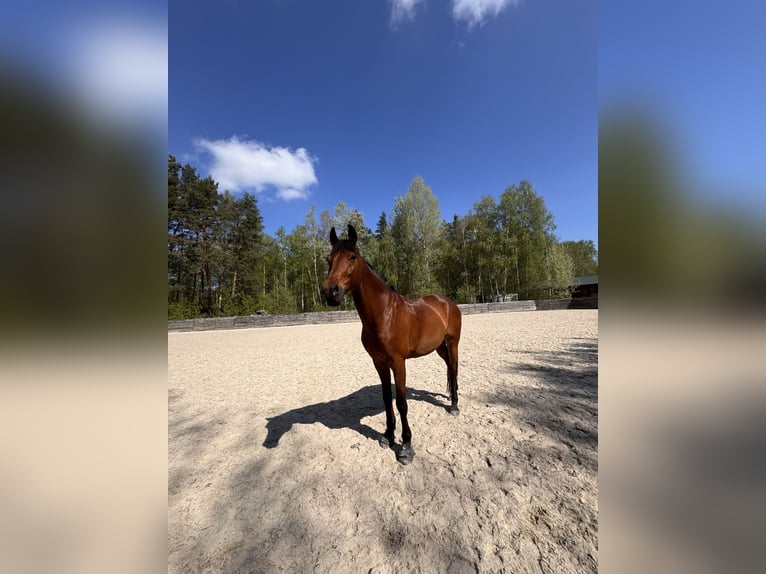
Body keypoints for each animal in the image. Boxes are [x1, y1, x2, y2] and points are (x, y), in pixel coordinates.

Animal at [322, 224, 462, 465]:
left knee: (453, 369)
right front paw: (388, 436)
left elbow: (401, 403)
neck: (384, 314)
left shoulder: (398, 362)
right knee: (449, 369)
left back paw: (453, 405)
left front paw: (406, 446)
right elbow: (387, 399)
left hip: (453, 344)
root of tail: (447, 302)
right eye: (328, 259)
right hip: (439, 347)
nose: (331, 292)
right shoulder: (379, 362)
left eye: (352, 257)